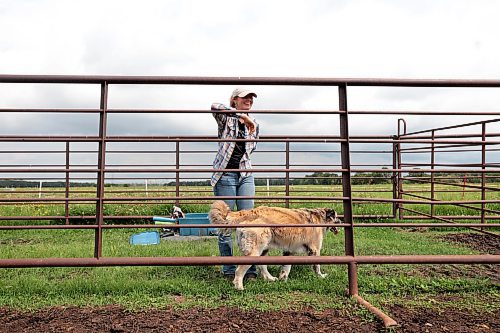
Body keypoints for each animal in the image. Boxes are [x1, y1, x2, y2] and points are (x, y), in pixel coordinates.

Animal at [208, 198, 344, 290]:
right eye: (337, 217)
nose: (342, 221)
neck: (320, 217)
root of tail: (250, 212)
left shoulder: (289, 251)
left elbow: (286, 267)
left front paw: (283, 278)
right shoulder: (315, 250)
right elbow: (317, 266)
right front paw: (320, 276)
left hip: (263, 249)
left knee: (262, 266)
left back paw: (270, 278)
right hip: (255, 251)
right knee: (239, 270)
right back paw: (239, 287)